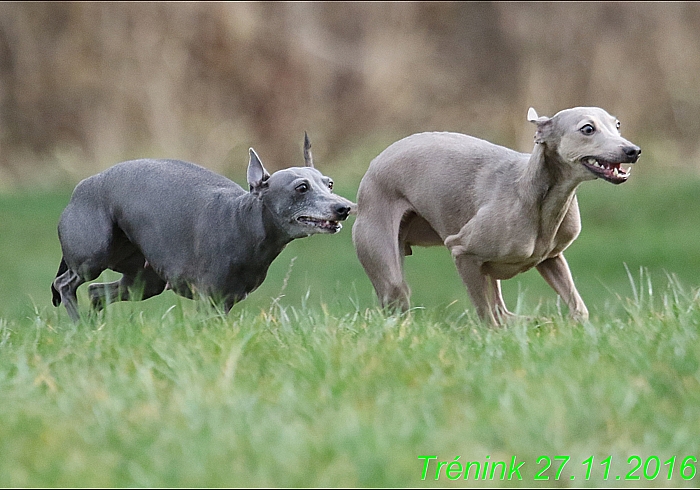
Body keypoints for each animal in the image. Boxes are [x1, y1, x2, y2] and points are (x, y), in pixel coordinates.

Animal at [52, 134, 356, 322]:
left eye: (328, 184)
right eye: (301, 188)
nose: (345, 207)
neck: (243, 223)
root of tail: (82, 187)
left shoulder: (226, 301)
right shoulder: (210, 300)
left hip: (144, 280)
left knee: (96, 293)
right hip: (93, 257)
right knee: (64, 285)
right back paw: (80, 325)